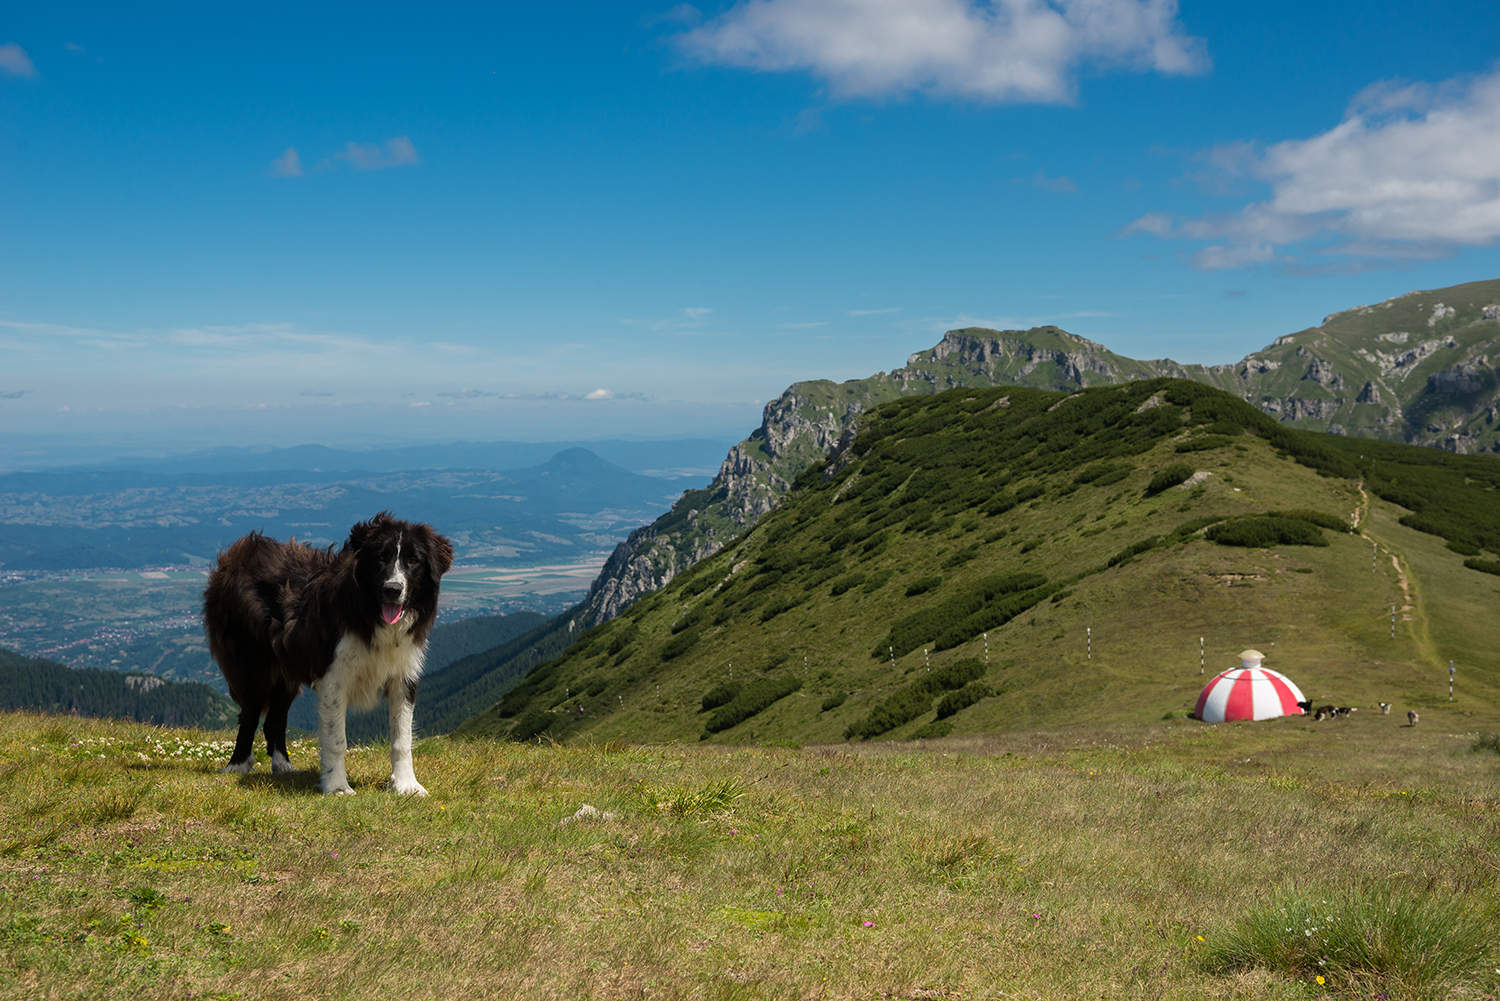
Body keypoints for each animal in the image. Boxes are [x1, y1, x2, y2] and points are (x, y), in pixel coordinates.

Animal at [202, 513, 453, 792]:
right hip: (253, 665)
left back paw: (283, 766)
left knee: (275, 719)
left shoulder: (403, 675)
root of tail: (237, 553)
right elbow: (336, 739)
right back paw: (237, 766)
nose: (392, 589)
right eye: (380, 557)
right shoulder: (334, 676)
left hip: (286, 671)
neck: (369, 613)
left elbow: (402, 738)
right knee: (249, 714)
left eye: (413, 561)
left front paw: (406, 785)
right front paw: (337, 787)